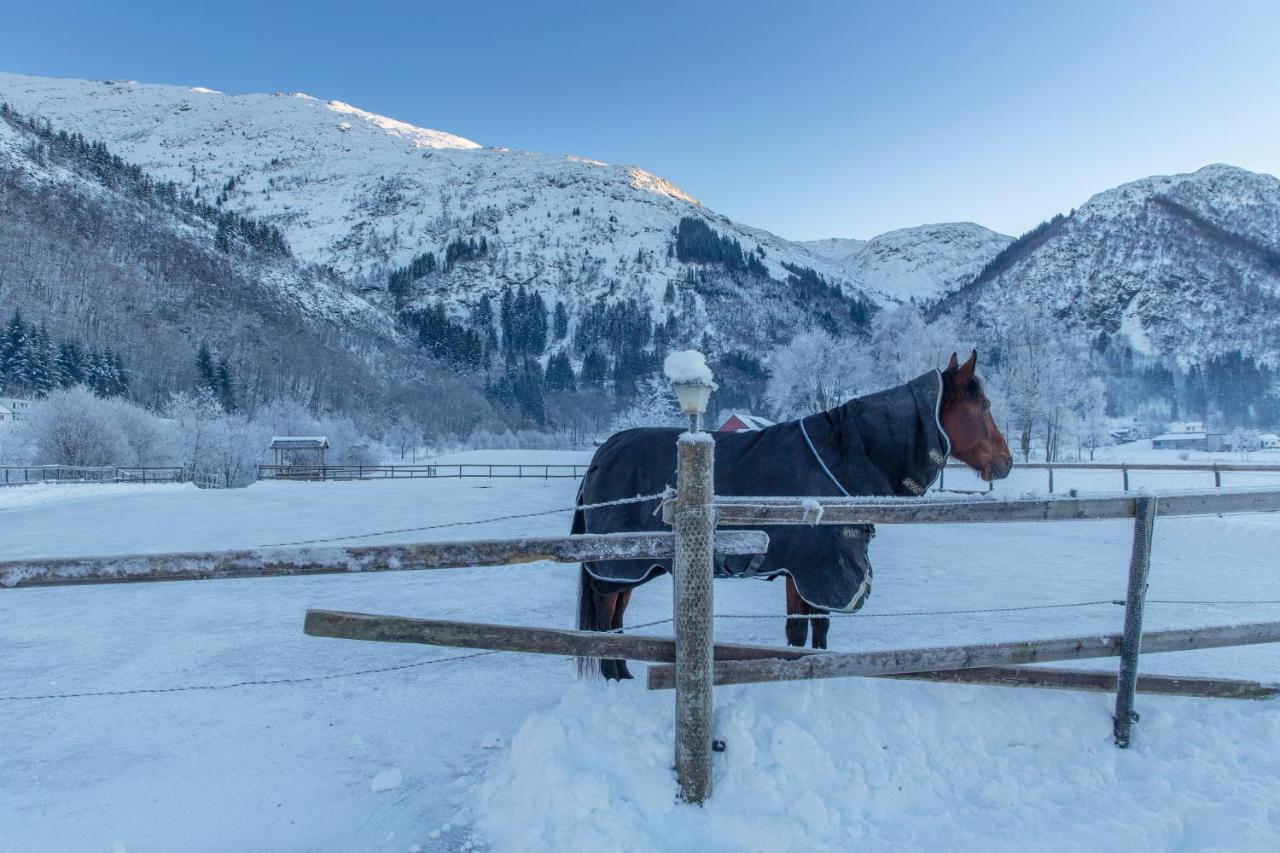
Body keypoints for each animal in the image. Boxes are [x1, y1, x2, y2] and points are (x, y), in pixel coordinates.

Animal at [576, 348, 1013, 676]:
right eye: (985, 405)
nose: (1006, 462)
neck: (843, 456)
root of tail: (603, 453)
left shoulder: (805, 575)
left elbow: (811, 632)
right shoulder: (816, 572)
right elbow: (806, 632)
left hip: (632, 567)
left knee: (616, 618)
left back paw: (623, 670)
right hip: (617, 566)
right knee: (604, 615)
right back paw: (614, 675)